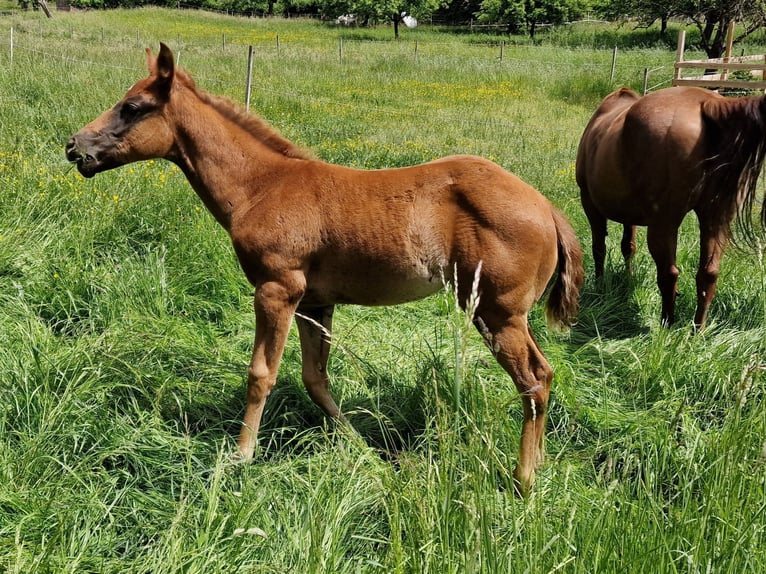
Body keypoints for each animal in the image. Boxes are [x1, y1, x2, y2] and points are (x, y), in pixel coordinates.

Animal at [66, 43, 583, 495]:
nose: (74, 146)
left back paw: (523, 480)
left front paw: (241, 457)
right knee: (545, 375)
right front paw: (362, 448)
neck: (260, 186)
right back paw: (536, 466)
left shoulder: (277, 289)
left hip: (497, 312)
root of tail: (548, 209)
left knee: (534, 380)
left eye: (132, 107)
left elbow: (261, 374)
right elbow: (316, 378)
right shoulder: (314, 303)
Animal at [576, 86, 766, 329]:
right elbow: (628, 246)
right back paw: (697, 330)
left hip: (664, 223)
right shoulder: (629, 215)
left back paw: (667, 325)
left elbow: (599, 248)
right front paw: (627, 279)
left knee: (669, 274)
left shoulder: (589, 203)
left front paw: (600, 286)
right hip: (716, 219)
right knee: (708, 274)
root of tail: (708, 103)